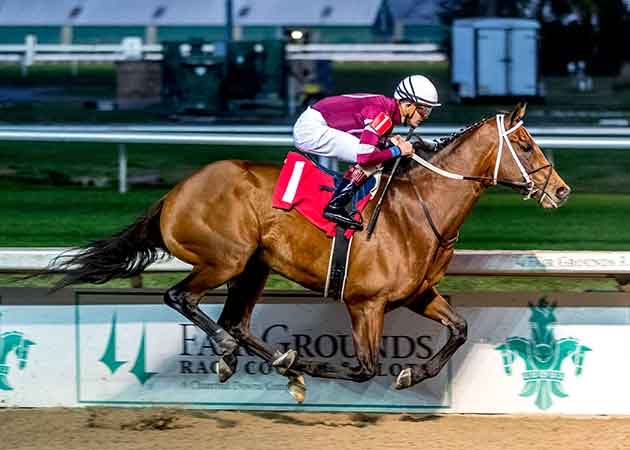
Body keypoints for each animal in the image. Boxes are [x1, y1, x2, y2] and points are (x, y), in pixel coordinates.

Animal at [50, 103, 572, 402]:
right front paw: (321, 368)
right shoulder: (365, 303)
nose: (561, 191)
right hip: (225, 259)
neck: (420, 210)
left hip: (253, 267)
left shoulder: (418, 294)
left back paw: (270, 364)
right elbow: (363, 368)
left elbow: (460, 330)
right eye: (526, 145)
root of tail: (175, 192)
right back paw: (244, 356)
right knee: (183, 300)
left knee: (235, 322)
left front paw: (412, 372)